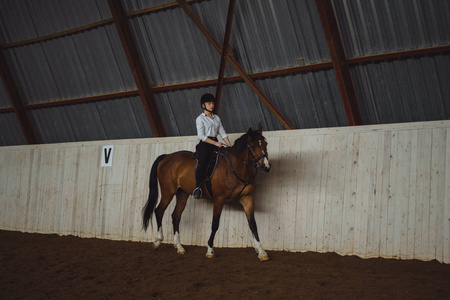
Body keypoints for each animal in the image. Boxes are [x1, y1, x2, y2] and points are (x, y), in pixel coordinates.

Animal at [143, 123, 270, 260]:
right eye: (253, 146)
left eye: (265, 144)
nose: (266, 167)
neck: (235, 166)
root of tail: (166, 157)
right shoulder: (219, 200)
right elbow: (215, 224)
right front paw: (210, 250)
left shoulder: (247, 198)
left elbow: (253, 224)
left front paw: (261, 251)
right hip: (168, 192)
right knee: (159, 211)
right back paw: (158, 241)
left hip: (182, 193)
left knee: (176, 216)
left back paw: (179, 247)